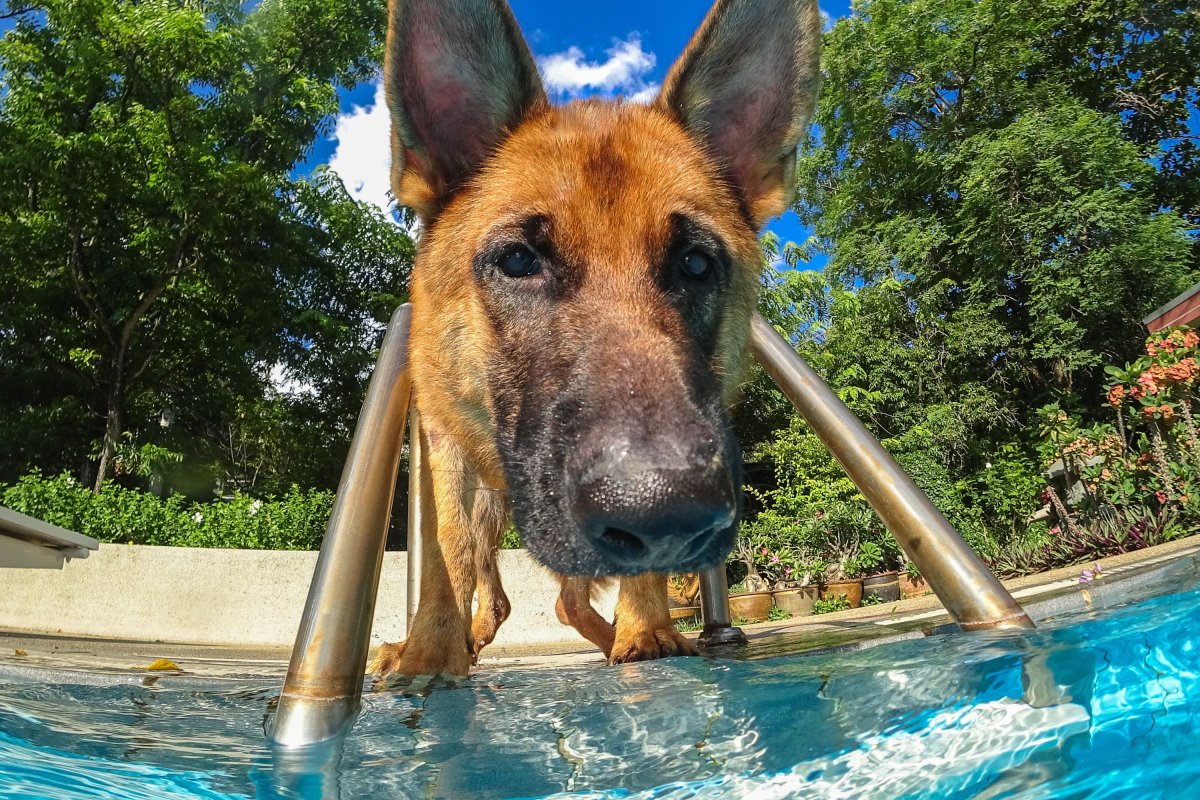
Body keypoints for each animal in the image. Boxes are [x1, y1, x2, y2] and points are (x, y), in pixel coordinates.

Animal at [372, 0, 825, 676]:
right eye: (518, 261)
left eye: (695, 264)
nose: (664, 510)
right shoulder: (446, 450)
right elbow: (445, 552)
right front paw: (429, 652)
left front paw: (646, 631)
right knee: (494, 576)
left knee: (557, 599)